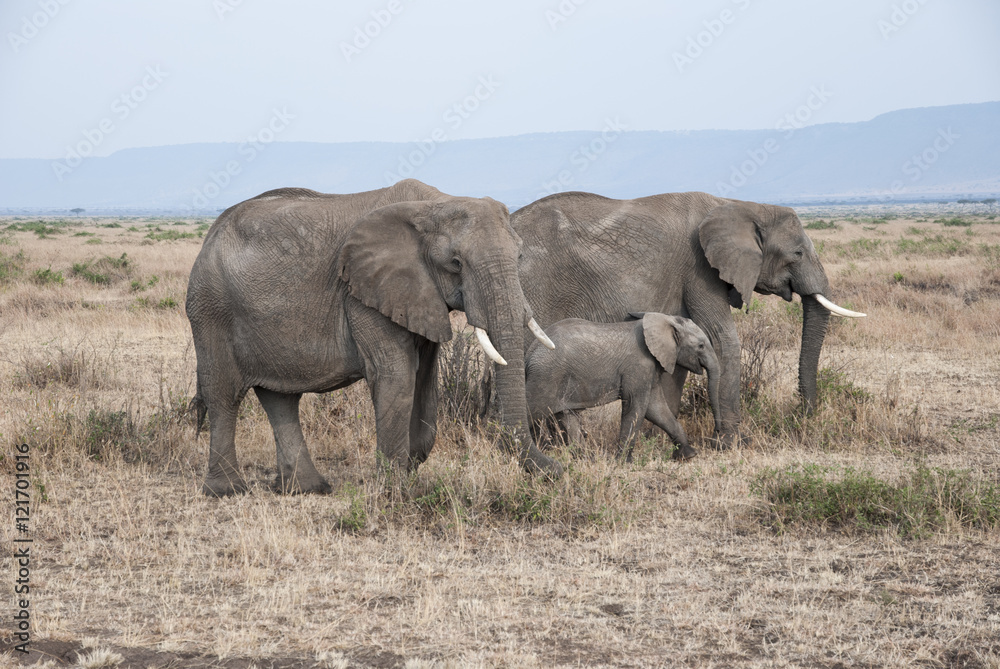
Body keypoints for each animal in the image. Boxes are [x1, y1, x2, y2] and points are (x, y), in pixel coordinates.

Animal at [188, 177, 560, 496]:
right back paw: (227, 491)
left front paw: (407, 472)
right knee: (224, 395)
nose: (558, 469)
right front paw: (395, 491)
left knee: (280, 398)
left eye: (519, 256)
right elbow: (395, 374)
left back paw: (306, 489)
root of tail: (210, 234)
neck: (434, 204)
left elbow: (424, 380)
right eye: (455, 263)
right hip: (210, 308)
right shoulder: (362, 294)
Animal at [524, 312, 720, 460]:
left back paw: (585, 460)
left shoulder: (649, 369)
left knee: (567, 416)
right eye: (701, 345)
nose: (716, 435)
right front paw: (623, 462)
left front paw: (689, 455)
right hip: (545, 377)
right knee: (530, 411)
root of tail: (530, 353)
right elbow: (636, 407)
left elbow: (656, 409)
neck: (664, 320)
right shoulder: (638, 366)